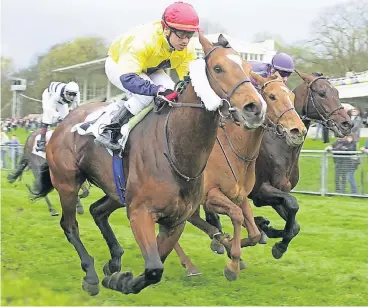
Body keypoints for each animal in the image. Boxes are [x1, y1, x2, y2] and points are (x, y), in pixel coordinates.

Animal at [38, 33, 268, 296]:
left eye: (249, 69)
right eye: (218, 68)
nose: (255, 108)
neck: (177, 151)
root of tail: (63, 123)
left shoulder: (176, 221)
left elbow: (156, 264)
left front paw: (119, 278)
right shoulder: (141, 213)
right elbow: (154, 268)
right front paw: (120, 281)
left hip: (117, 190)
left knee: (97, 210)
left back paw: (114, 260)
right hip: (67, 182)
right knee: (70, 225)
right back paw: (91, 275)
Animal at [172, 71, 308, 276]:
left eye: (292, 97)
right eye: (272, 96)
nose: (297, 130)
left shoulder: (244, 195)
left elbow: (263, 229)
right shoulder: (219, 195)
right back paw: (190, 263)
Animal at [206, 71, 352, 260]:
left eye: (337, 92)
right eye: (322, 93)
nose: (347, 124)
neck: (280, 145)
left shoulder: (279, 192)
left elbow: (294, 221)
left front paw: (272, 236)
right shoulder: (261, 190)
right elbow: (293, 204)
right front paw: (274, 239)